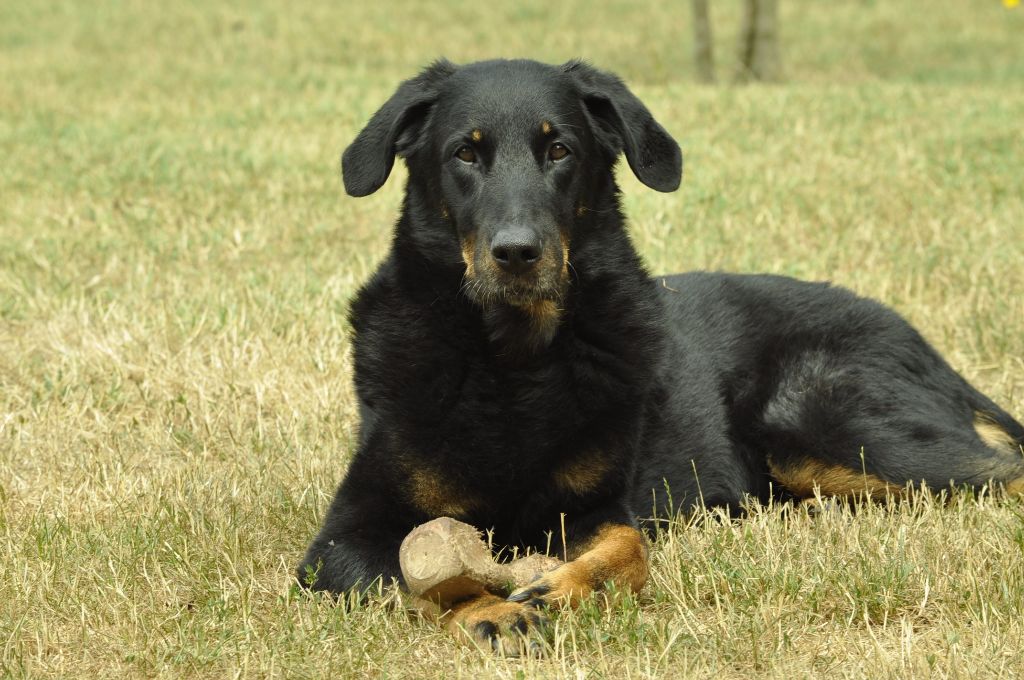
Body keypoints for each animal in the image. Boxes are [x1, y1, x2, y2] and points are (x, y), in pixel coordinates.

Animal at [299, 58, 1024, 655]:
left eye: (559, 150)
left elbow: (630, 545)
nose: (517, 254)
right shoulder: (339, 541)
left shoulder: (599, 507)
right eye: (464, 154)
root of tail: (920, 343)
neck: (515, 360)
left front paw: (570, 588)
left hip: (823, 424)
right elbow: (415, 574)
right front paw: (489, 610)